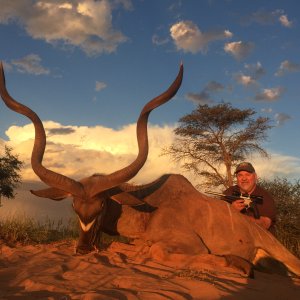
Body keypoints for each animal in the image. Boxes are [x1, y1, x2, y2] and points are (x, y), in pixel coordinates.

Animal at [0, 62, 300, 278]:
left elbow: (158, 251)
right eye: (74, 207)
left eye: (101, 206)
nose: (83, 249)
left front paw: (238, 264)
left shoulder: (189, 244)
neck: (150, 209)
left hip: (284, 255)